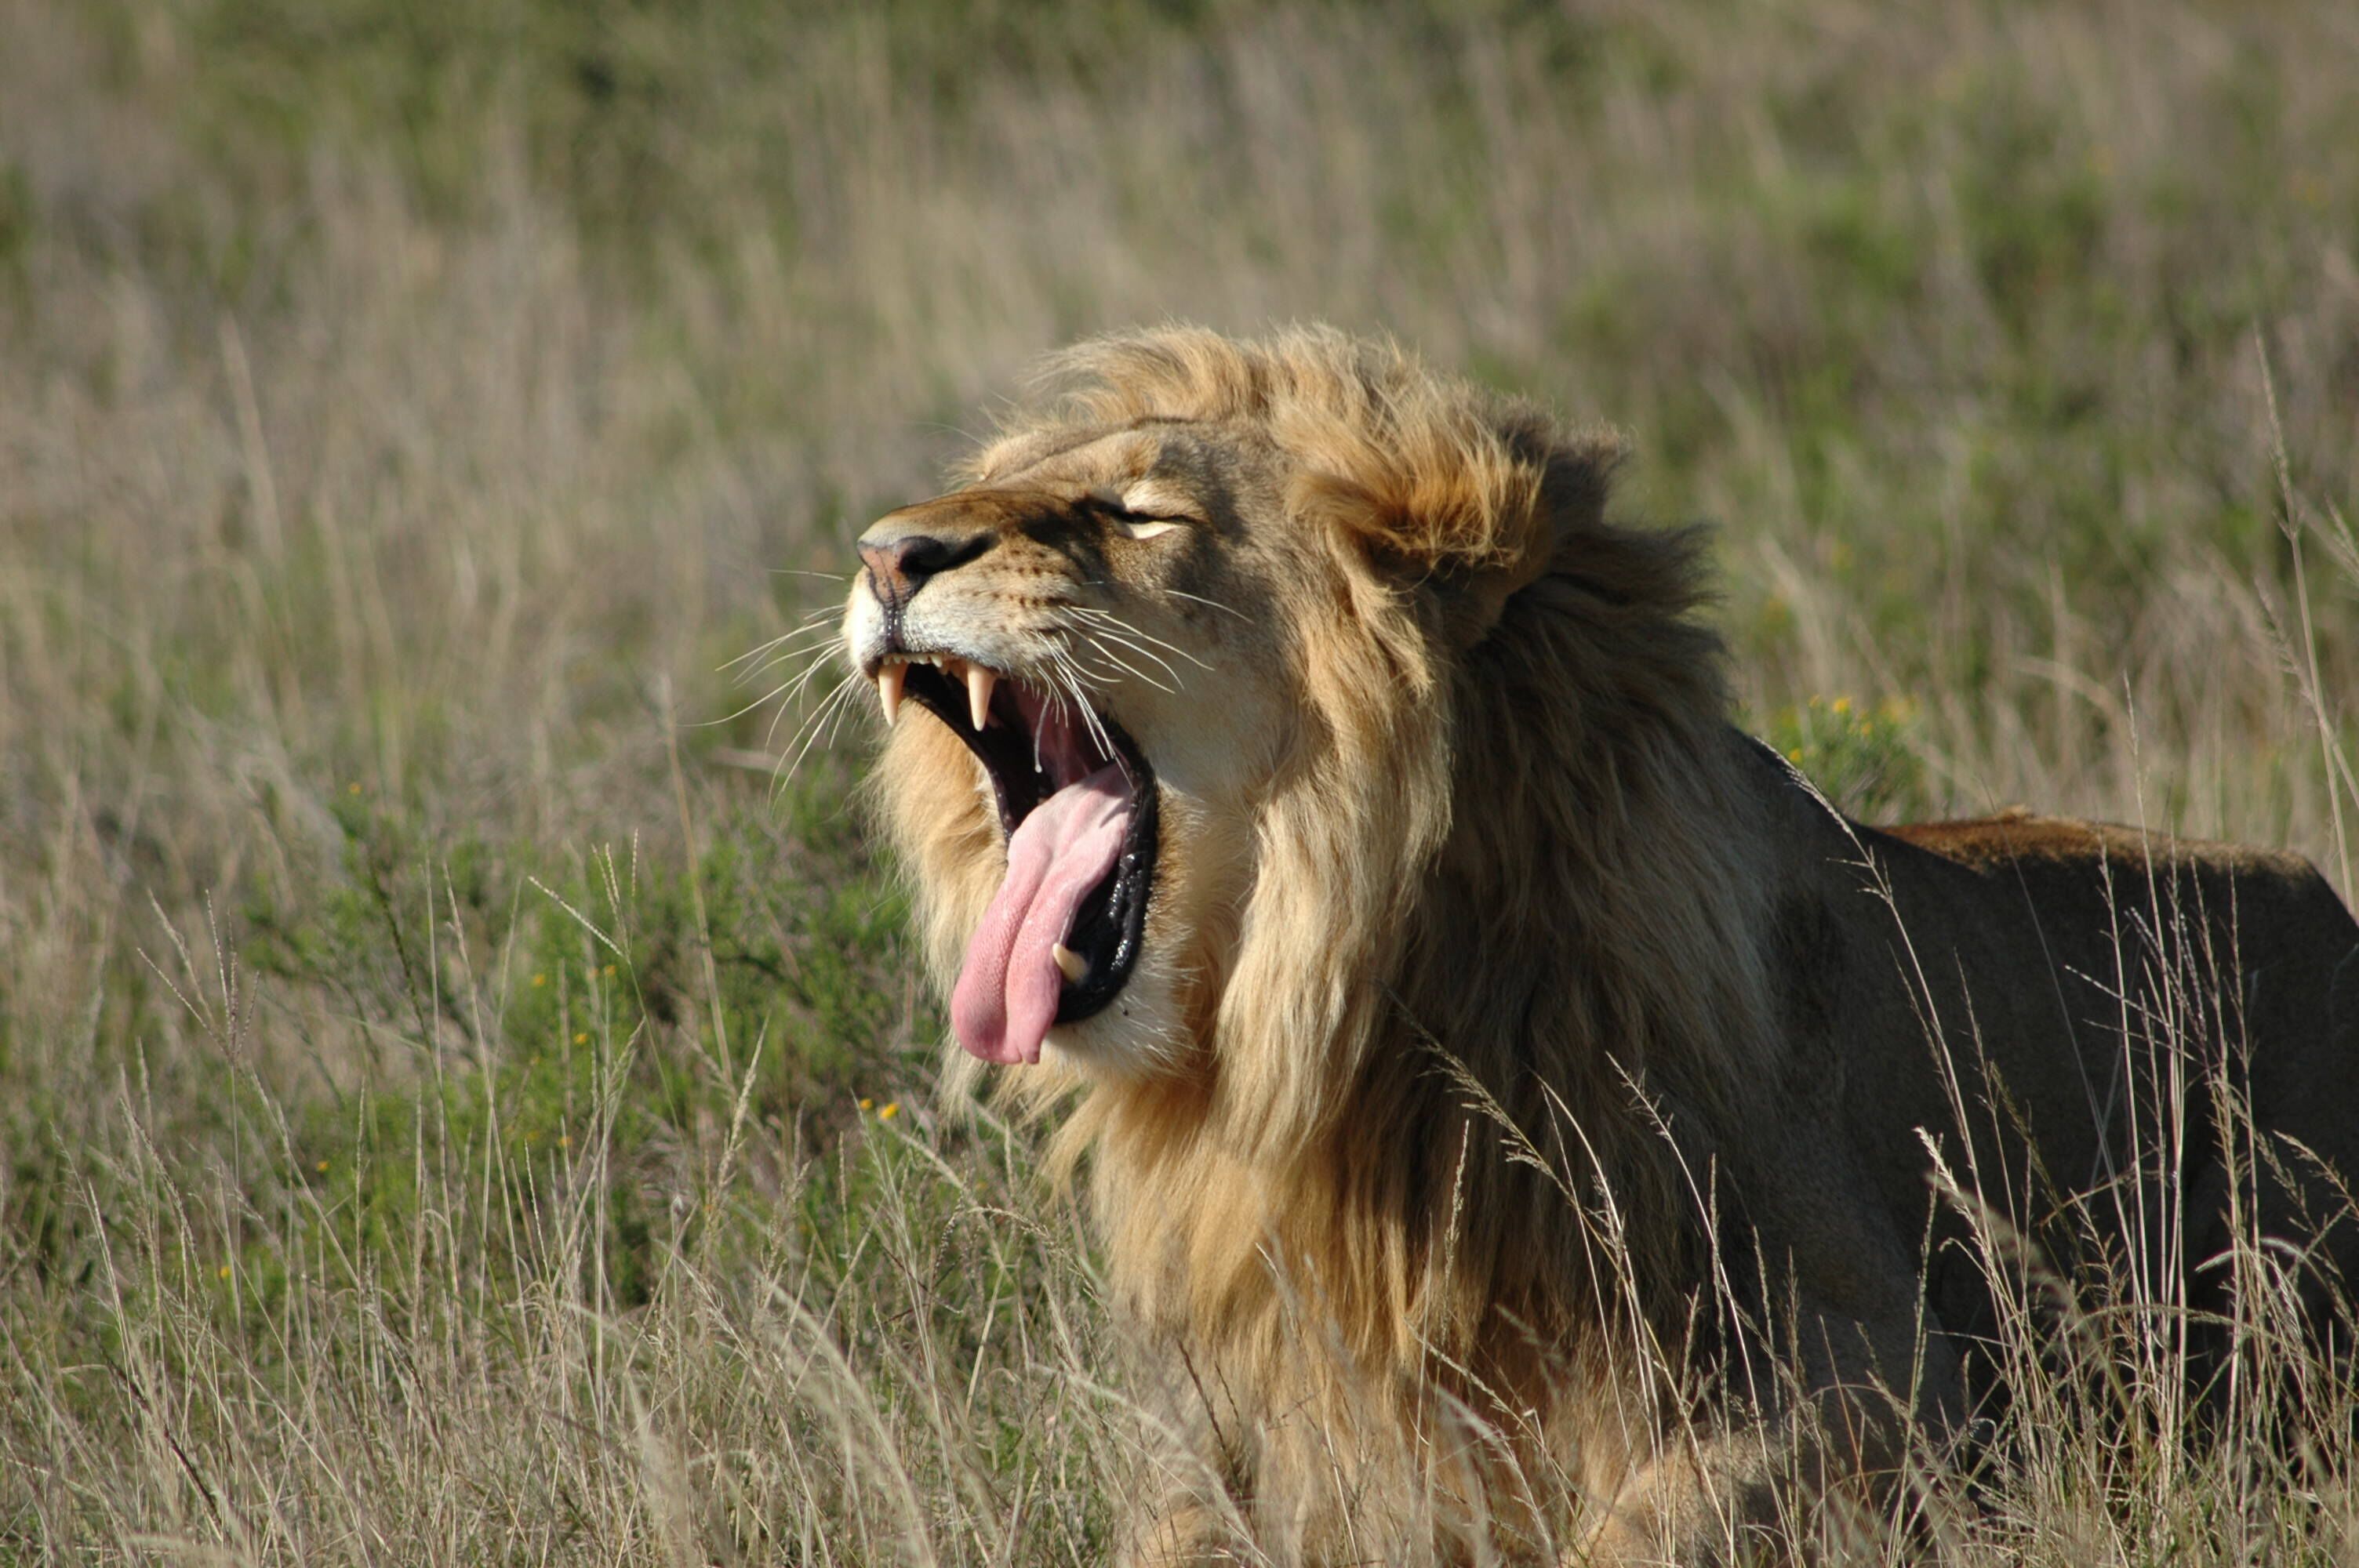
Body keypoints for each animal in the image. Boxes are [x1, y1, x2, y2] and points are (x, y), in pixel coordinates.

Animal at [838, 324, 2359, 1563]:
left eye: (1139, 512)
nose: (885, 554)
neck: (1326, 1044)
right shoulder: (1224, 1429)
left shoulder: (1897, 1373)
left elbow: (1647, 1525)